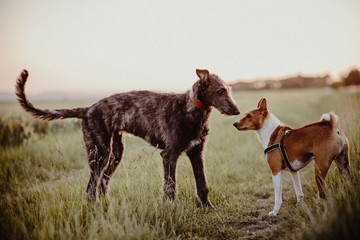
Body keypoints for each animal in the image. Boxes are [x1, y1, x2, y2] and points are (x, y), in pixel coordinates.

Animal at [15, 69, 239, 206]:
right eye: (220, 91)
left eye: (228, 90)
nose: (237, 112)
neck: (191, 109)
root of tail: (87, 109)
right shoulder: (169, 154)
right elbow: (170, 187)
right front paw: (170, 209)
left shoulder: (196, 152)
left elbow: (202, 185)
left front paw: (207, 207)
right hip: (99, 153)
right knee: (90, 189)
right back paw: (94, 209)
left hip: (115, 153)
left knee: (102, 183)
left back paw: (106, 205)